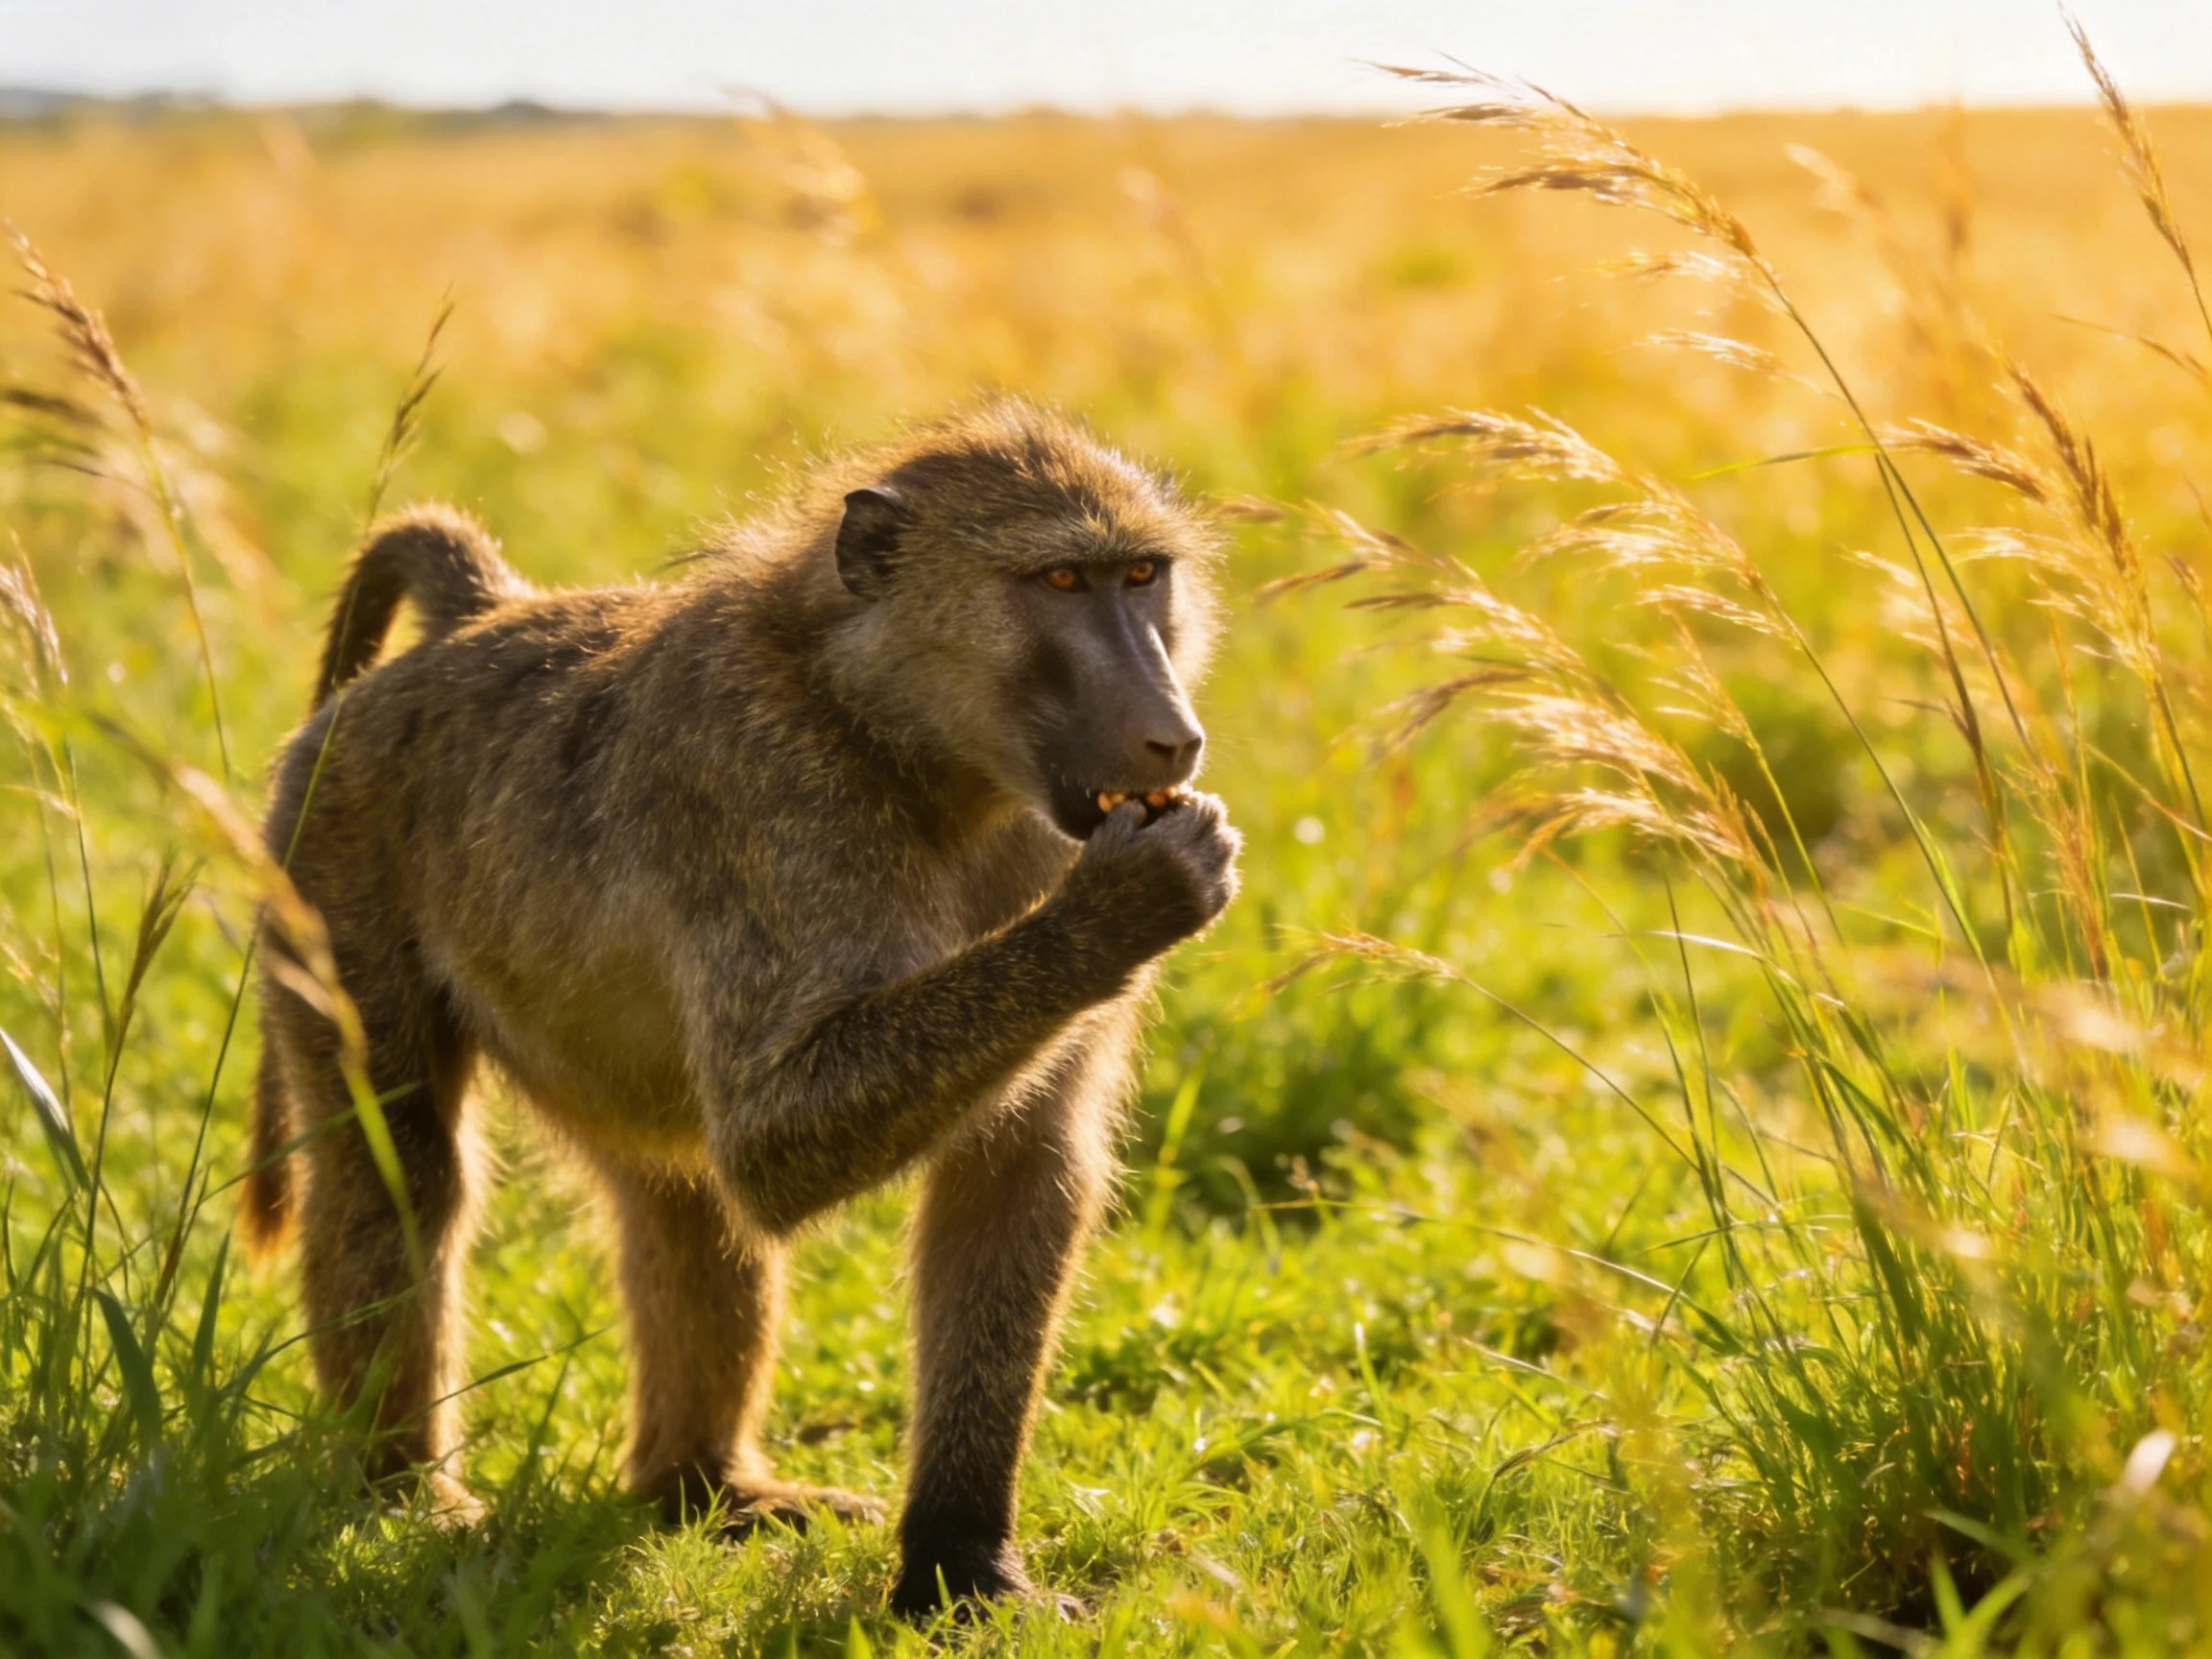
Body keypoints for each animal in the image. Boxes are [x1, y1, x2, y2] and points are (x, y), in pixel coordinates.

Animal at [238, 399, 1239, 1616]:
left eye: (1141, 575)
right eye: (1058, 581)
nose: (1170, 735)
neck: (899, 736)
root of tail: (476, 624)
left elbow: (1013, 1168)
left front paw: (962, 1568)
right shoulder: (767, 797)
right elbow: (775, 1142)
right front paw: (1132, 902)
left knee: (680, 1196)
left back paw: (702, 1489)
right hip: (326, 857)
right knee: (402, 1166)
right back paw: (401, 1500)